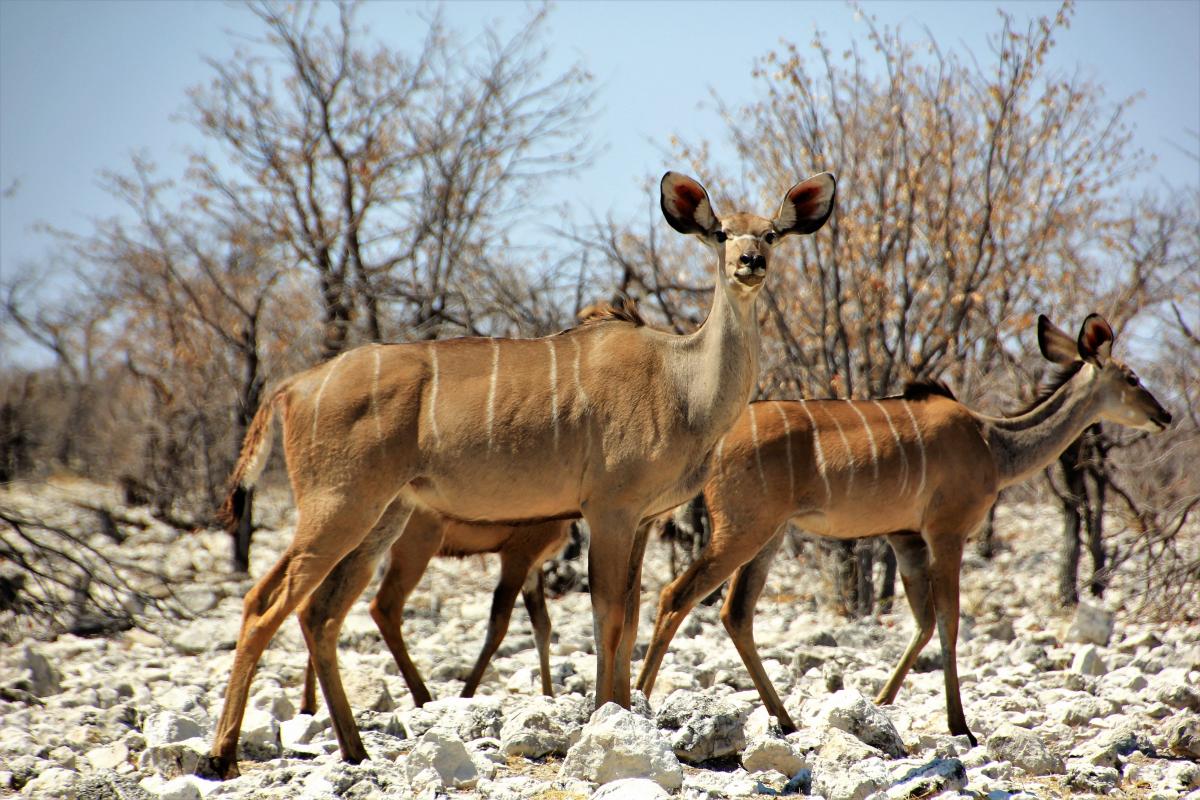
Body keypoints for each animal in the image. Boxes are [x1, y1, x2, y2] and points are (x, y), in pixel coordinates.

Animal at [292, 506, 568, 714]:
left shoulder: (533, 568)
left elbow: (542, 626)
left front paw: (548, 695)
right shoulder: (517, 558)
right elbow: (499, 625)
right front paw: (466, 695)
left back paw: (309, 705)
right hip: (415, 552)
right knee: (382, 607)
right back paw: (422, 696)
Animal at [638, 311, 1171, 743]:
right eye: (1132, 376)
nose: (1164, 415)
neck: (992, 441)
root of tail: (714, 441)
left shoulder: (906, 538)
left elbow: (923, 620)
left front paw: (881, 701)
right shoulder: (947, 532)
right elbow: (950, 621)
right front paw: (960, 726)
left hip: (768, 536)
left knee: (735, 613)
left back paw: (785, 720)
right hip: (743, 530)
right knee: (676, 596)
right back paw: (637, 702)